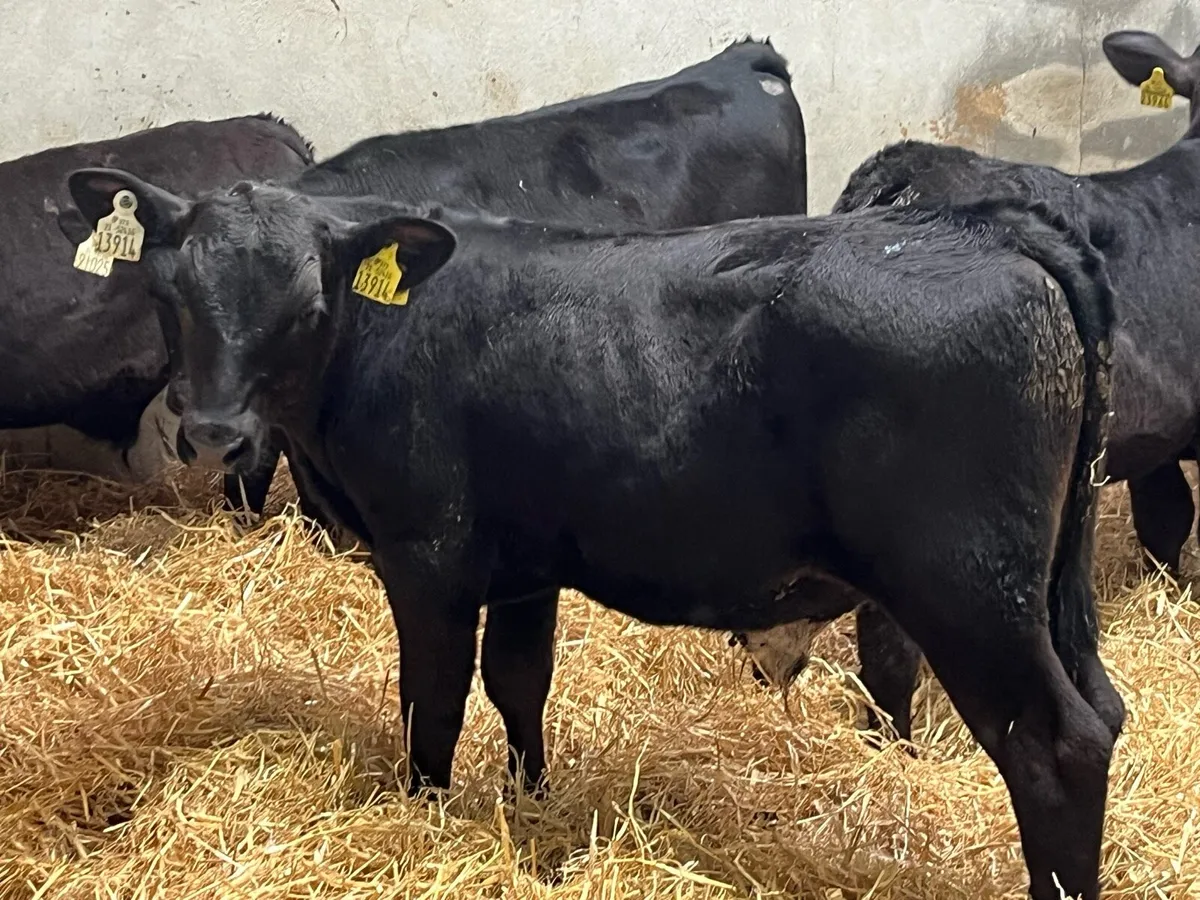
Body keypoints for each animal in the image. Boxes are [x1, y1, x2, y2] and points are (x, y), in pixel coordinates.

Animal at [65, 158, 1124, 898]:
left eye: (308, 303)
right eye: (167, 294)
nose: (214, 432)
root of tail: (985, 228)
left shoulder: (427, 556)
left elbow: (433, 703)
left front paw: (425, 817)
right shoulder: (526, 563)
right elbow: (519, 686)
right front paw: (530, 808)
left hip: (966, 585)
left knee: (1056, 742)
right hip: (1037, 586)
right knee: (1104, 709)